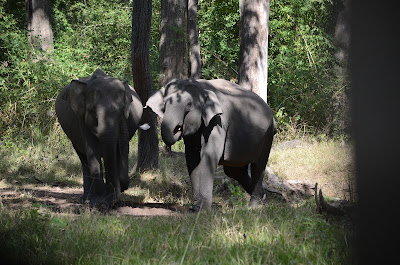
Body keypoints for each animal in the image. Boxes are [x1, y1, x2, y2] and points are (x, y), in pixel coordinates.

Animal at [54, 68, 144, 208]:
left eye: (122, 111)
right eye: (92, 112)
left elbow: (118, 149)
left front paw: (111, 200)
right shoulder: (81, 118)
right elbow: (92, 148)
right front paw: (99, 202)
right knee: (83, 158)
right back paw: (86, 199)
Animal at [145, 78, 276, 210]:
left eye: (189, 104)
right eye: (164, 104)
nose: (178, 128)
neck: (201, 88)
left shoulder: (218, 122)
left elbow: (209, 155)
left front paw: (203, 209)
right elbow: (192, 159)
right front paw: (195, 208)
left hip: (267, 137)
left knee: (258, 167)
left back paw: (254, 205)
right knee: (234, 171)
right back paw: (263, 197)